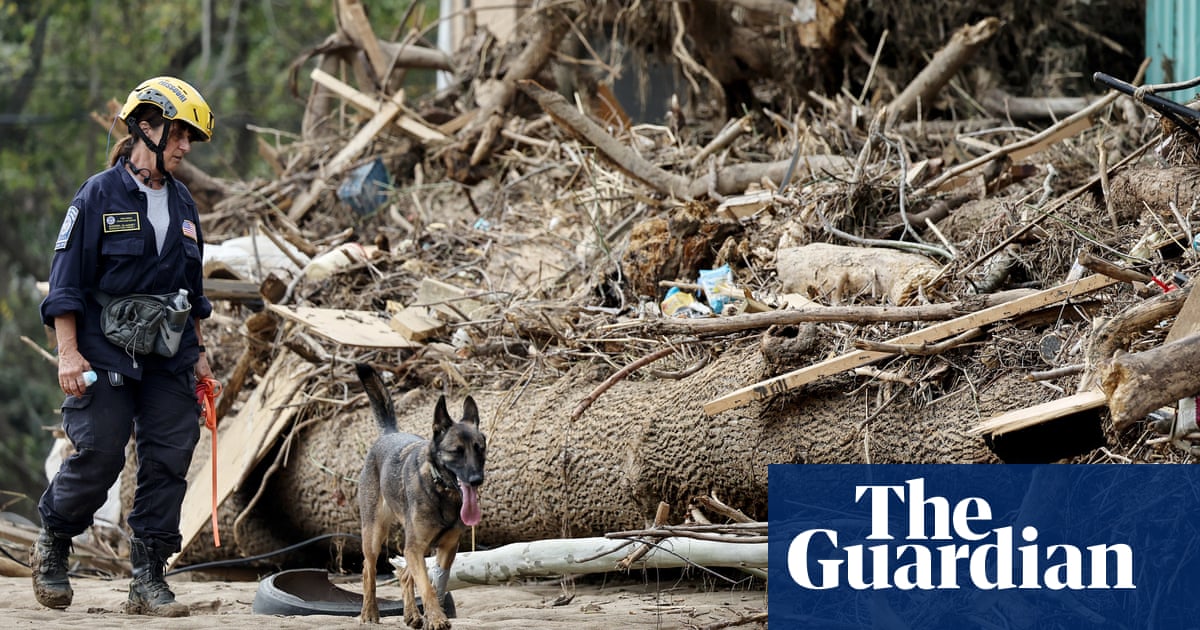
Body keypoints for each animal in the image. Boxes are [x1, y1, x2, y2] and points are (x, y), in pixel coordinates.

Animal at [352, 362, 484, 628]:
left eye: (480, 449)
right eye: (456, 451)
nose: (477, 479)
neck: (441, 491)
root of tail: (389, 434)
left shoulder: (445, 548)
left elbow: (436, 583)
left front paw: (433, 614)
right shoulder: (414, 547)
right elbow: (426, 585)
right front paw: (436, 618)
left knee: (404, 574)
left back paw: (412, 615)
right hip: (374, 534)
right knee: (368, 569)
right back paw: (369, 612)